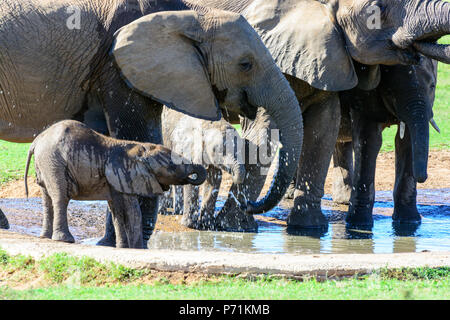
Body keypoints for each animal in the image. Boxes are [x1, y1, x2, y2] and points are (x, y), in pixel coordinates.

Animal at [24, 120, 206, 248]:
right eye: (172, 166)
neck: (140, 149)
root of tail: (36, 141)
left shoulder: (118, 180)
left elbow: (117, 211)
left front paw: (123, 247)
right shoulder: (126, 176)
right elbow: (132, 210)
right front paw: (137, 249)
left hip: (45, 163)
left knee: (47, 198)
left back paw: (45, 237)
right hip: (53, 162)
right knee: (61, 197)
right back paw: (65, 240)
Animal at [332, 57, 438, 228]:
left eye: (432, 86)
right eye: (390, 92)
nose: (423, 177)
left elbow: (405, 142)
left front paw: (409, 221)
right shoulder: (364, 91)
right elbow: (369, 139)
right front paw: (358, 224)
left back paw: (344, 200)